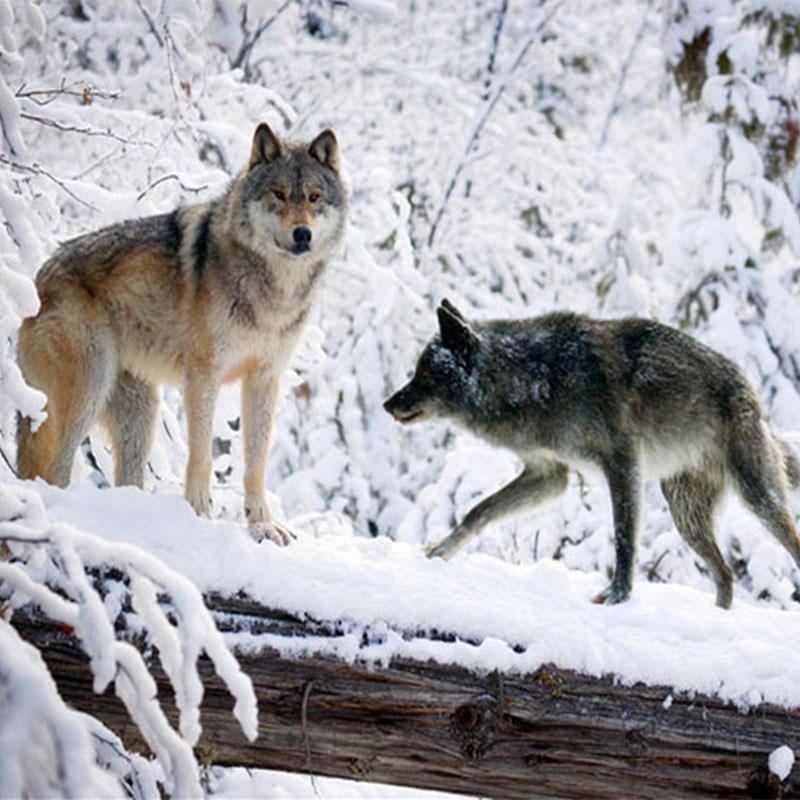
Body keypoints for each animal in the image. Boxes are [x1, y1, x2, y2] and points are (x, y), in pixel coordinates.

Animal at [17, 122, 347, 544]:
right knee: (56, 471)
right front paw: (199, 513)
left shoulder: (264, 378)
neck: (272, 289)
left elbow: (256, 462)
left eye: (314, 197)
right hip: (88, 389)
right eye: (278, 194)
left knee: (124, 478)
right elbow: (202, 455)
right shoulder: (203, 374)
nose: (302, 234)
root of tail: (36, 281)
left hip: (141, 415)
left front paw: (262, 524)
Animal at [384, 300, 800, 607]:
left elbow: (623, 537)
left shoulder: (622, 462)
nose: (388, 404)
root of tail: (752, 395)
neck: (536, 379)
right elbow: (479, 510)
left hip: (758, 499)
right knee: (726, 576)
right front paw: (440, 551)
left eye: (424, 376)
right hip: (686, 516)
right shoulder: (549, 475)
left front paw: (618, 595)